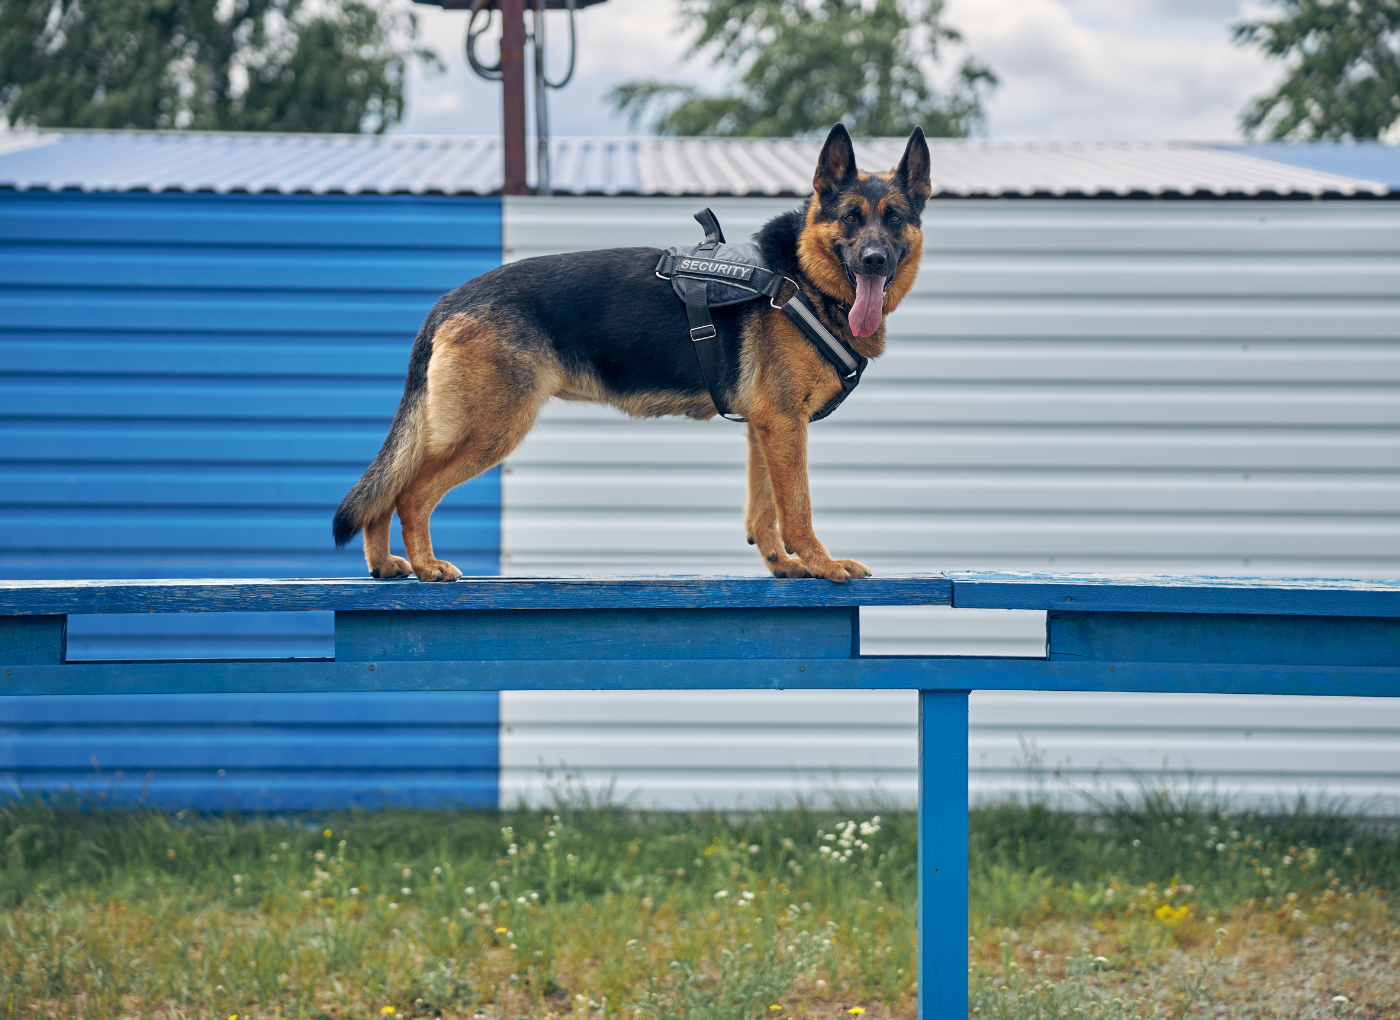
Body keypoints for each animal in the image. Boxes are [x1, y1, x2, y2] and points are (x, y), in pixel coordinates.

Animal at [330, 123, 929, 582]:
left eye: (894, 218)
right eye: (850, 217)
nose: (874, 261)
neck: (798, 275)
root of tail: (451, 300)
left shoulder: (766, 426)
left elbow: (764, 512)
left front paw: (784, 566)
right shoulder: (784, 424)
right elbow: (797, 508)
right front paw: (824, 565)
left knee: (386, 491)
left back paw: (387, 565)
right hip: (490, 429)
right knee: (410, 493)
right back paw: (427, 566)